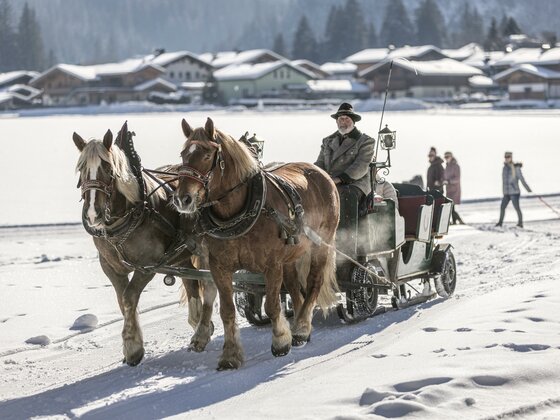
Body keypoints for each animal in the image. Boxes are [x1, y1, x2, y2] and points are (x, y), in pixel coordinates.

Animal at [72, 123, 217, 366]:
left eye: (108, 169)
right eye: (81, 169)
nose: (93, 214)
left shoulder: (148, 265)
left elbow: (129, 297)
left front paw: (133, 348)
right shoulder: (110, 267)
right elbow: (122, 301)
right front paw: (132, 343)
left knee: (208, 285)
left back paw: (202, 330)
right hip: (183, 253)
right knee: (191, 280)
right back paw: (197, 321)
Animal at [173, 116, 340, 370]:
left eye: (207, 155)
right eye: (183, 153)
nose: (183, 199)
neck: (238, 213)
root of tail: (322, 173)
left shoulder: (271, 265)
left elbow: (272, 305)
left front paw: (281, 341)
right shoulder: (219, 267)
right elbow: (227, 311)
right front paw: (230, 355)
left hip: (321, 244)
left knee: (313, 283)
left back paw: (301, 328)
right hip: (291, 255)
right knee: (295, 288)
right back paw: (300, 326)